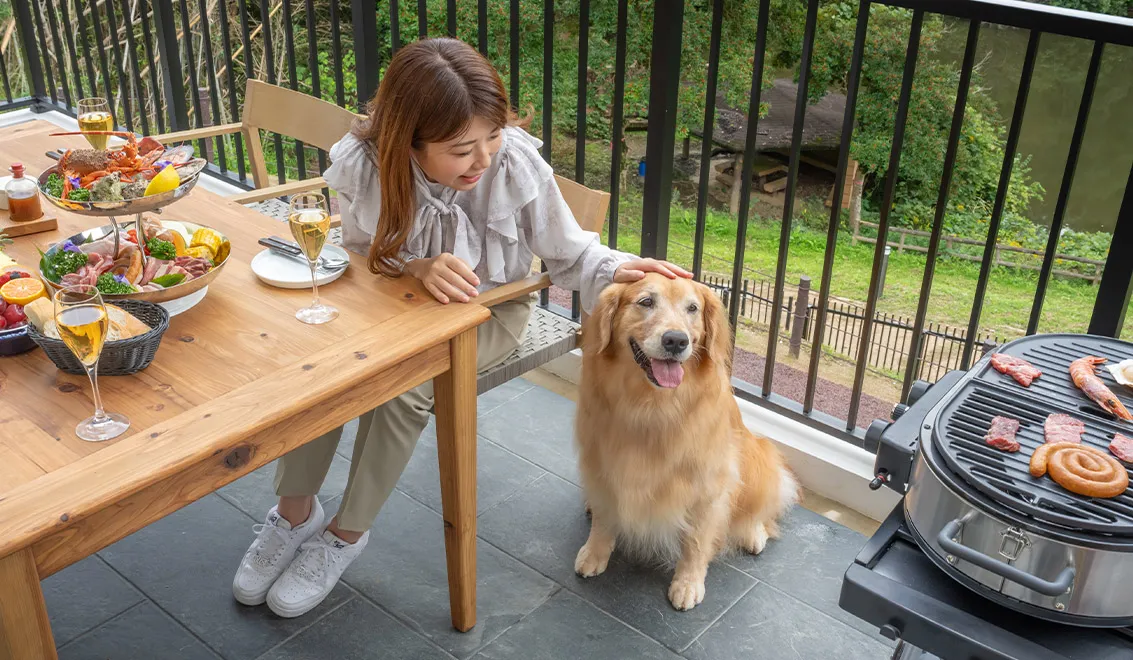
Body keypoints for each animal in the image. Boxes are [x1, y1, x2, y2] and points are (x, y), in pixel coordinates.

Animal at [575, 272, 797, 611]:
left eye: (692, 308)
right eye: (646, 302)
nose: (676, 340)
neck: (652, 407)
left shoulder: (707, 484)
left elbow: (696, 540)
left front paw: (688, 583)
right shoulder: (600, 462)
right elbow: (604, 515)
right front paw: (595, 551)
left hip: (757, 456)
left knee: (761, 507)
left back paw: (753, 533)